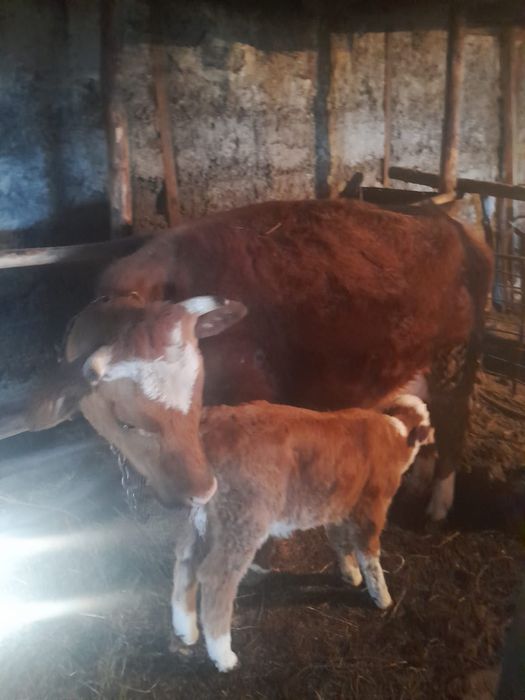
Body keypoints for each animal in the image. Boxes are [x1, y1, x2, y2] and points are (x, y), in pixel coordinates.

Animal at [26, 198, 492, 521]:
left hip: (455, 361)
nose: (193, 494)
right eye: (124, 421)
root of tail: (447, 220)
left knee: (454, 423)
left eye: (196, 396)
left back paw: (439, 503)